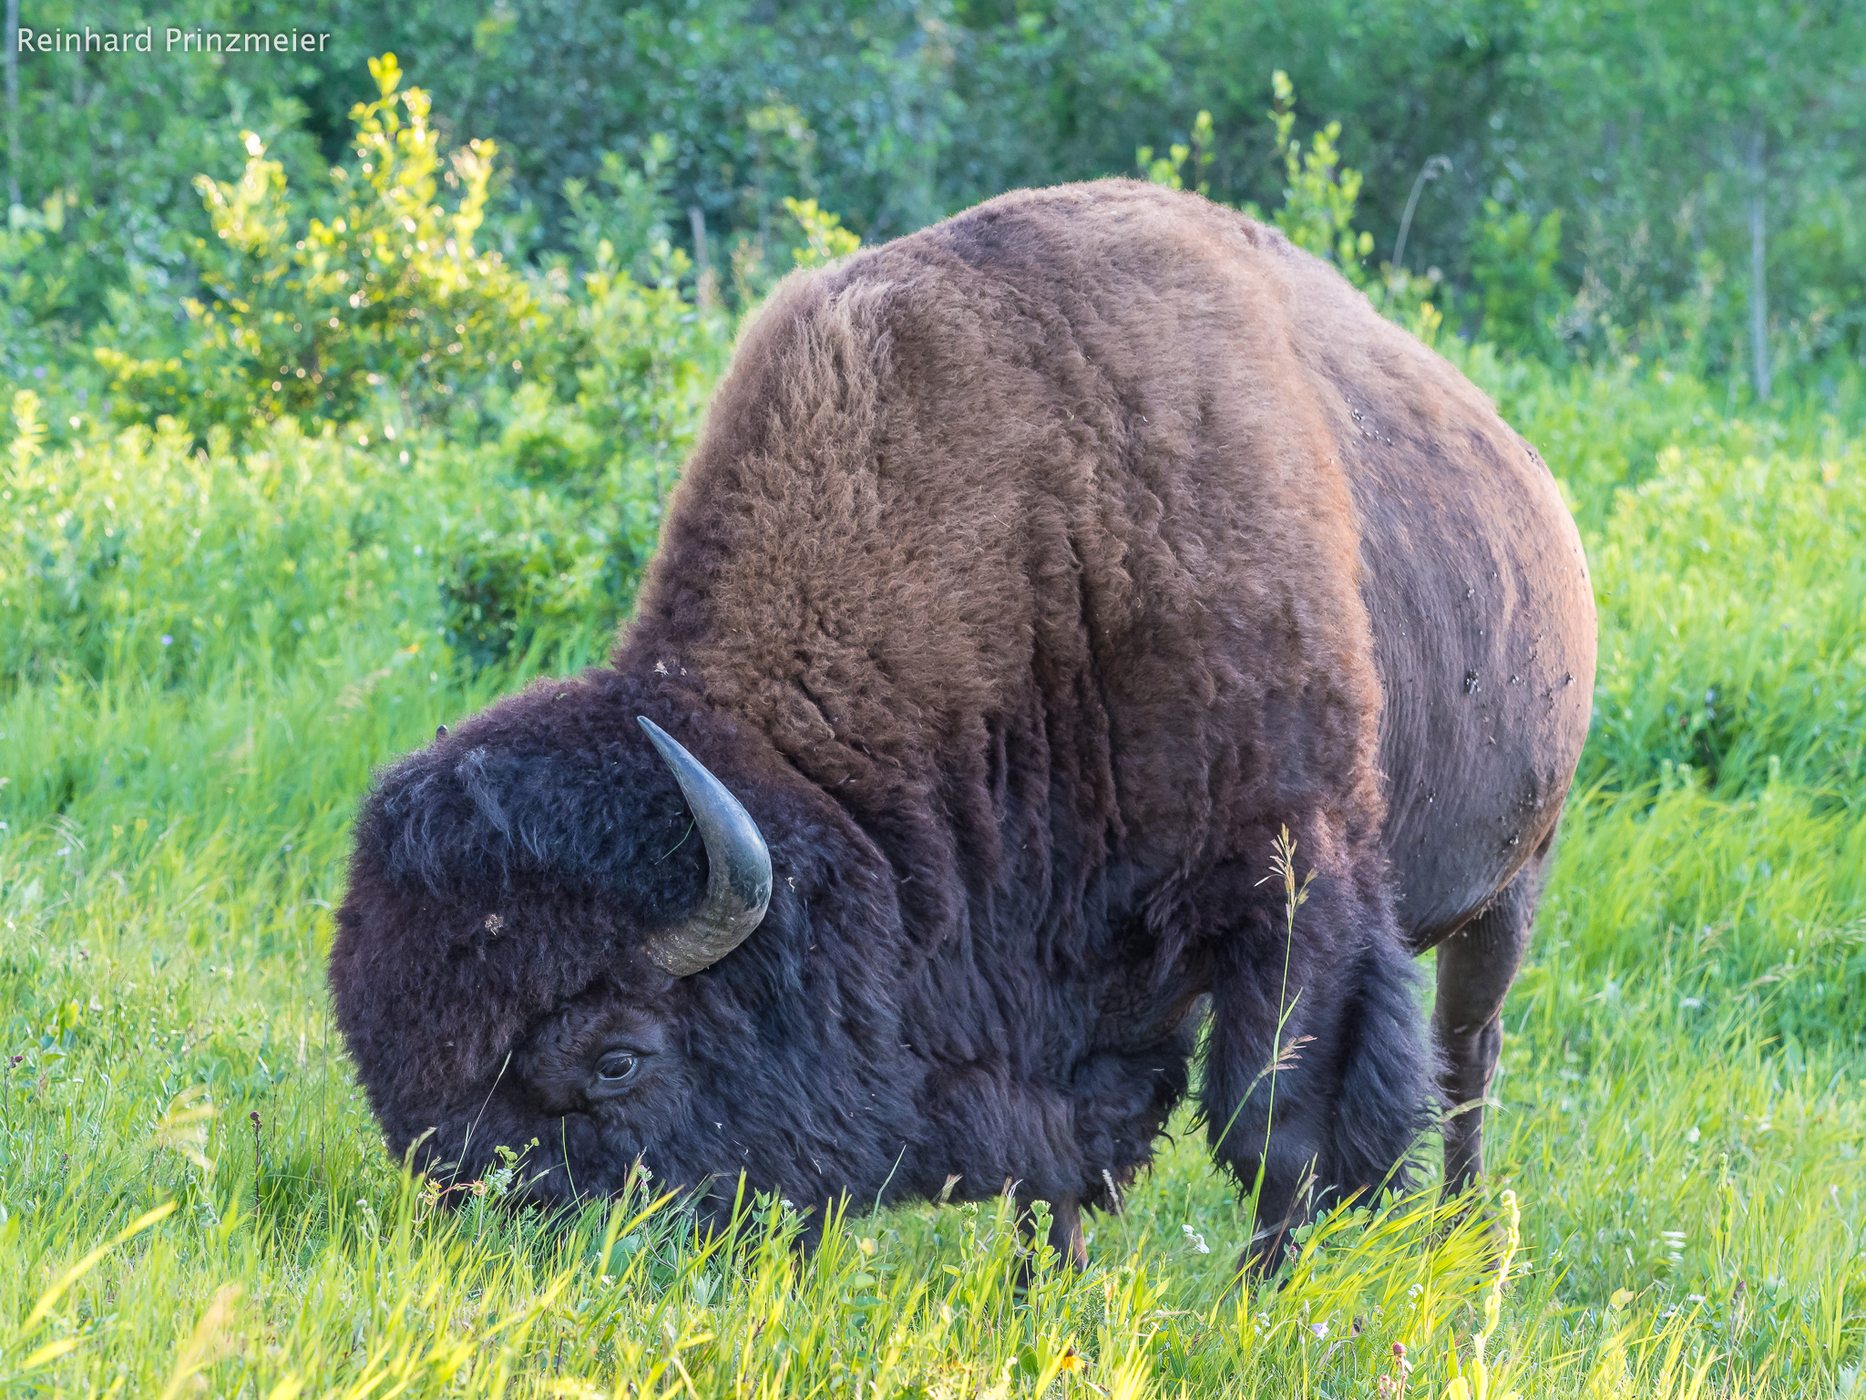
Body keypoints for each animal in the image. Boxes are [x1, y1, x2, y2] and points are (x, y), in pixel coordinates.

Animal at [332, 181, 1589, 1276]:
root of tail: (1536, 482)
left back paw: (1465, 1240)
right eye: (398, 1083)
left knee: (1467, 1055)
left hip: (1511, 882)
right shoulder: (1057, 974)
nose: (554, 1261)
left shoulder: (1292, 886)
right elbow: (1061, 1158)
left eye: (614, 1057)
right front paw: (1047, 1293)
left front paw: (1261, 1303)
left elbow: (1283, 1125)